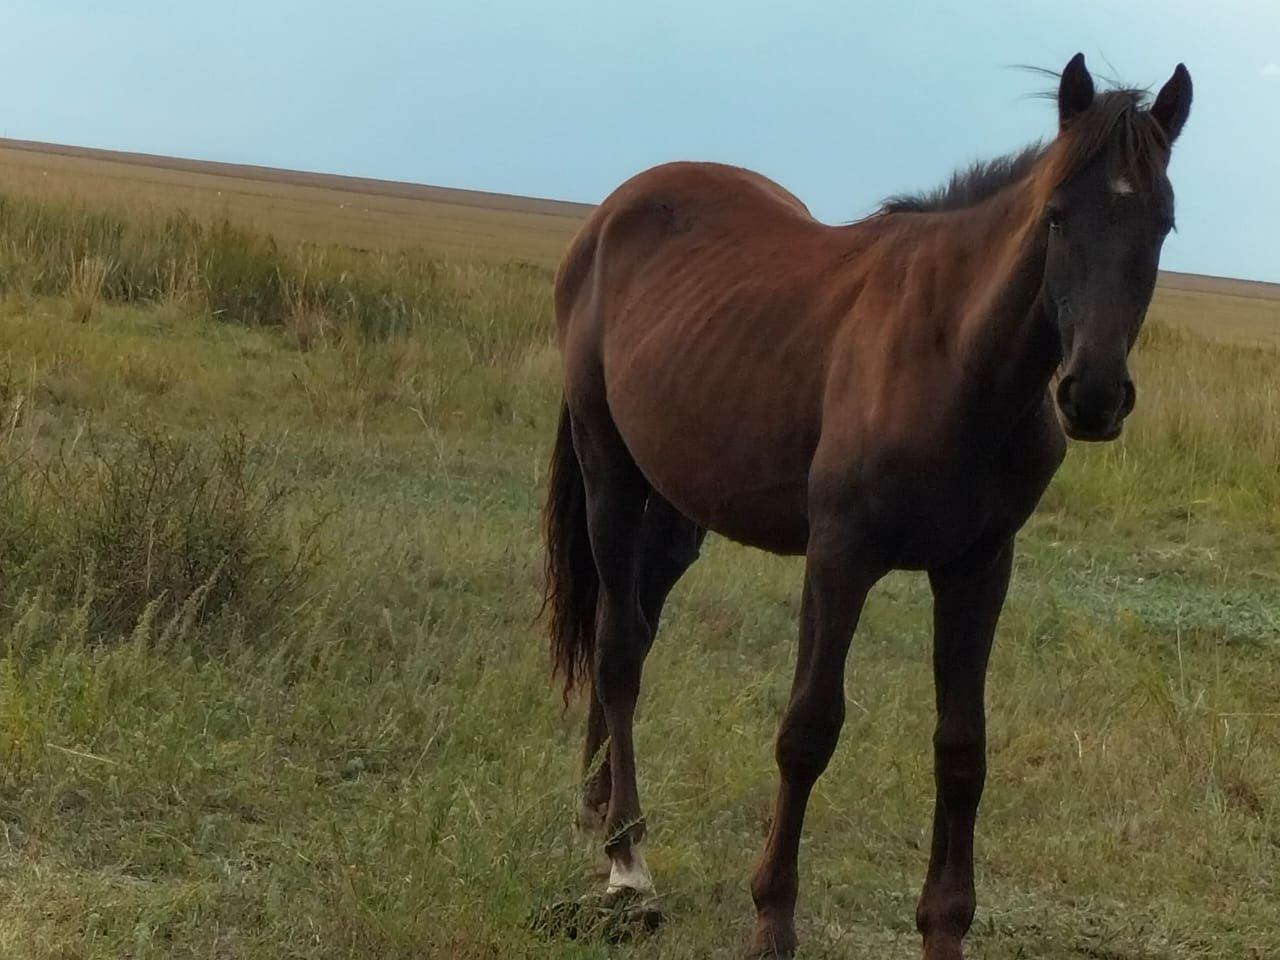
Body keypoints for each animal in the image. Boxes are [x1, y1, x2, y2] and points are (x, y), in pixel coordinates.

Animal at [537, 54, 1187, 960]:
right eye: (1057, 217)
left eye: (1162, 225)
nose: (1091, 396)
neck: (956, 362)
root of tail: (612, 213)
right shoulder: (841, 556)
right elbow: (809, 729)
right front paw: (772, 918)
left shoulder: (979, 567)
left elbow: (962, 747)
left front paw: (944, 927)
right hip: (611, 476)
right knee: (620, 648)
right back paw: (628, 860)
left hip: (676, 506)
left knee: (626, 626)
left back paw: (596, 811)